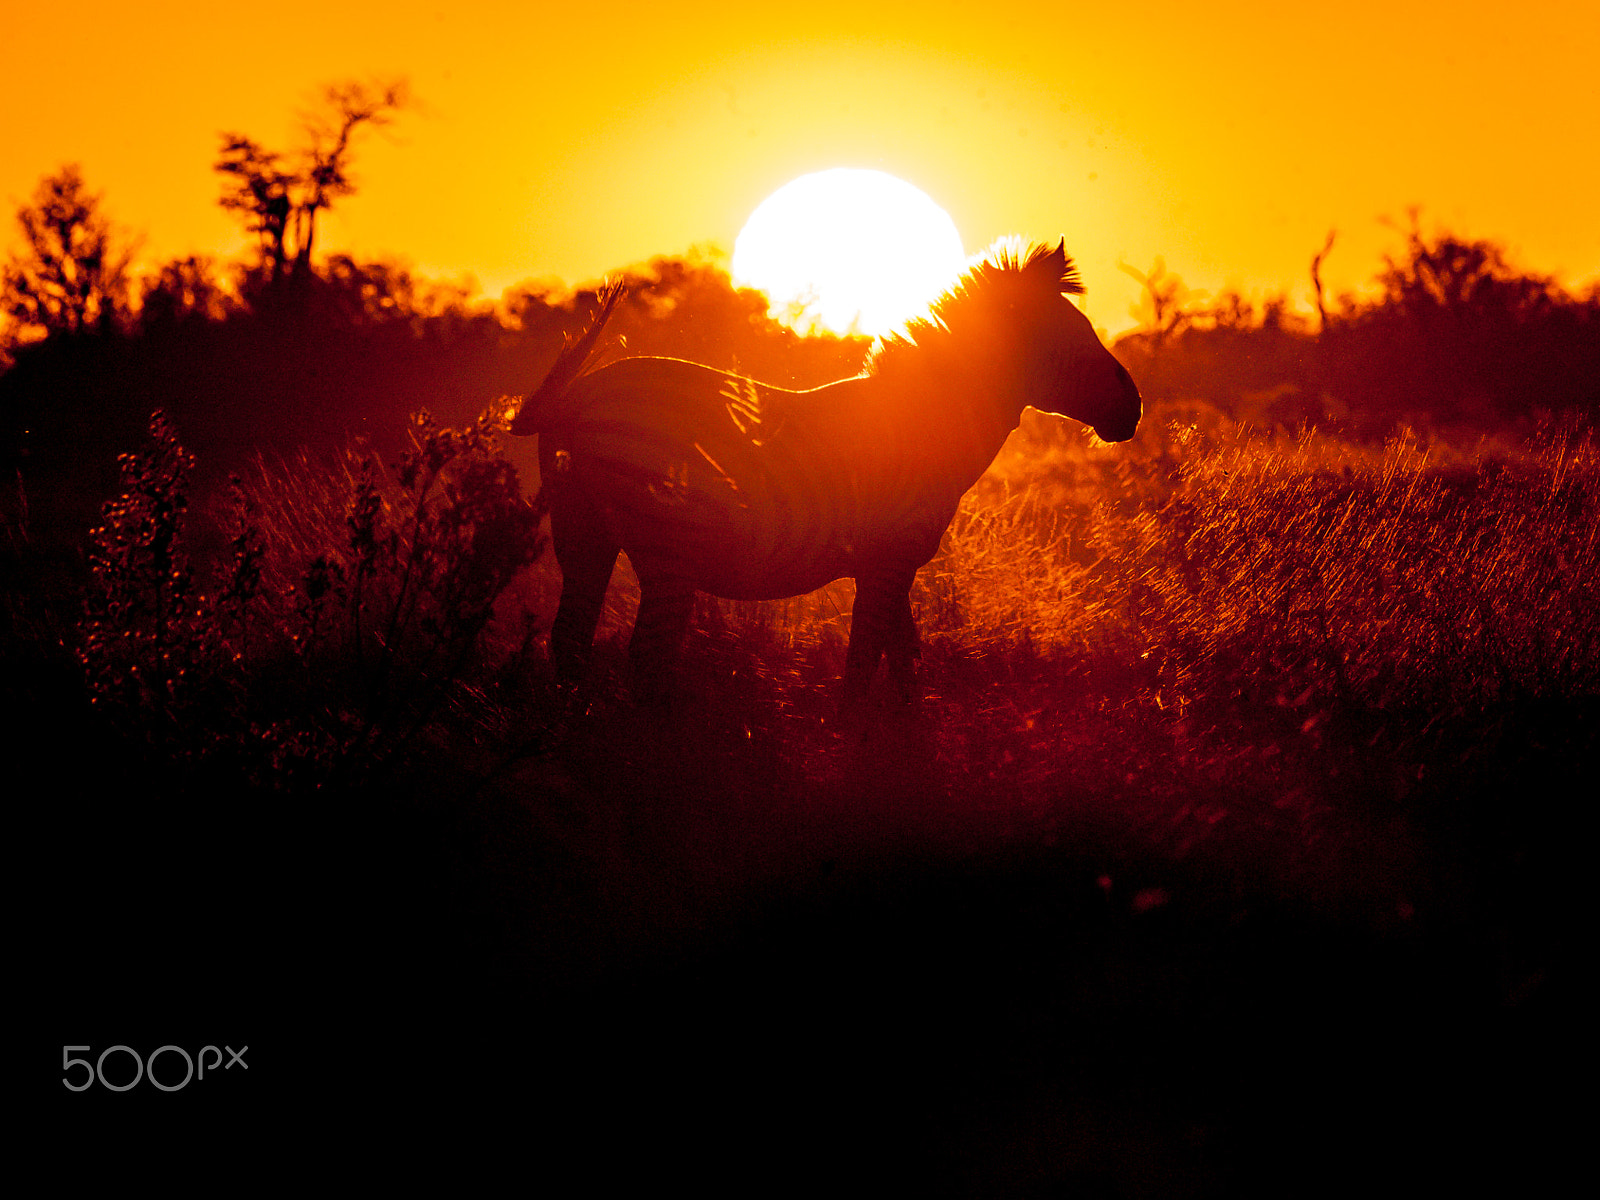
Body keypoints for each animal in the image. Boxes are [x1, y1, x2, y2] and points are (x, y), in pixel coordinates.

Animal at [511, 239, 1142, 706]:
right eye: (1072, 334)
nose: (1134, 407)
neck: (926, 425)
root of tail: (576, 396)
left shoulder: (889, 565)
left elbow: (904, 667)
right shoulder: (887, 561)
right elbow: (862, 671)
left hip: (584, 535)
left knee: (570, 646)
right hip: (667, 552)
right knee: (643, 662)